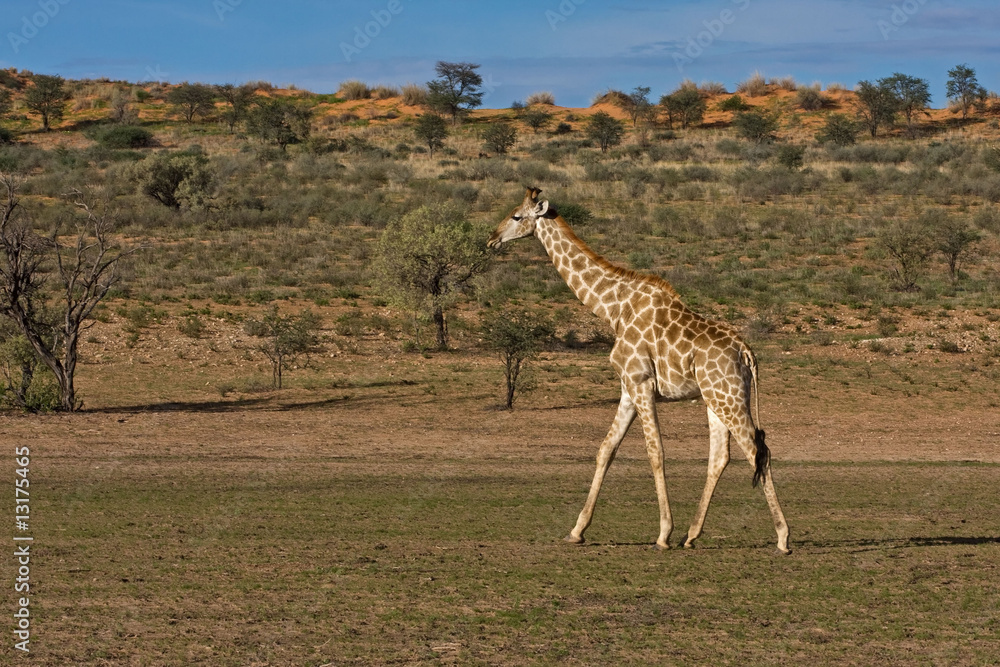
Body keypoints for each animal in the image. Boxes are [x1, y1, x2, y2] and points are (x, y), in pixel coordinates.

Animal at [488, 188, 790, 553]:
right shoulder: (628, 387)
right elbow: (606, 448)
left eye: (516, 216)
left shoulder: (641, 382)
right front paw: (576, 530)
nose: (491, 238)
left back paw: (782, 537)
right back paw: (692, 535)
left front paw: (663, 534)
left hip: (727, 397)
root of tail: (747, 353)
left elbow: (655, 451)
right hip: (717, 398)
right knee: (721, 456)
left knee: (756, 451)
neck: (613, 308)